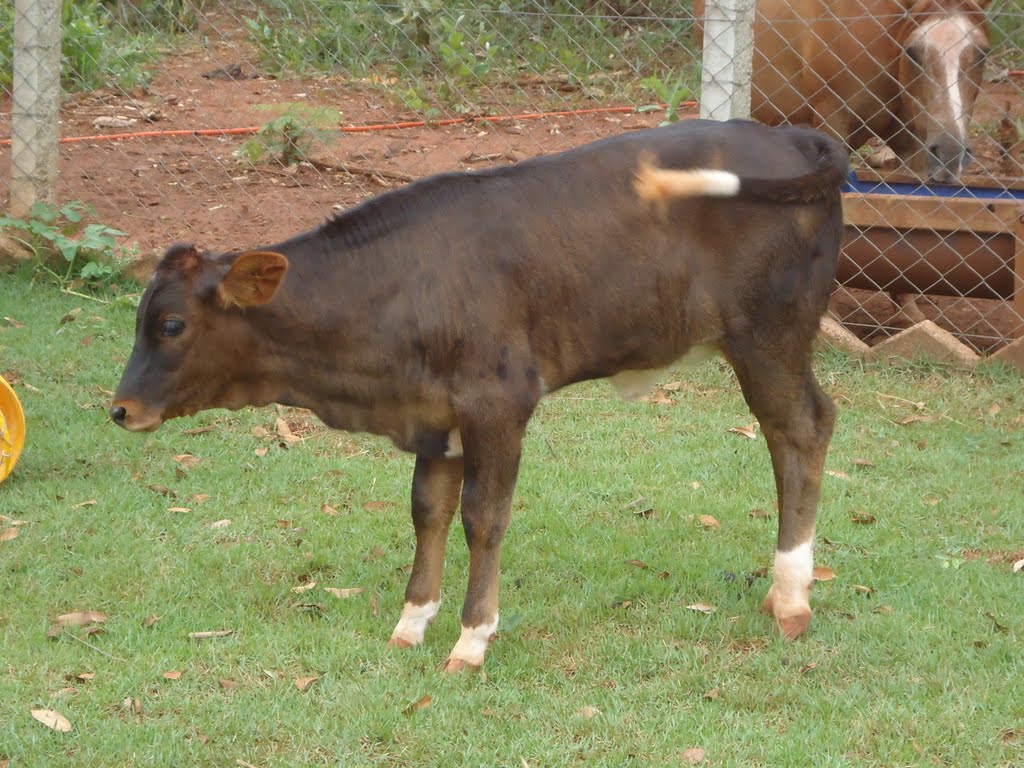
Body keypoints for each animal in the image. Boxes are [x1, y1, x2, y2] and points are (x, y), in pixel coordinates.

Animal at [112, 120, 847, 671]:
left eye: (171, 324)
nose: (120, 410)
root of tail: (787, 134)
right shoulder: (436, 415)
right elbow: (427, 511)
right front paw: (411, 622)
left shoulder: (499, 403)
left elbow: (483, 518)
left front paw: (471, 638)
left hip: (769, 337)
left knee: (803, 428)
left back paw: (791, 599)